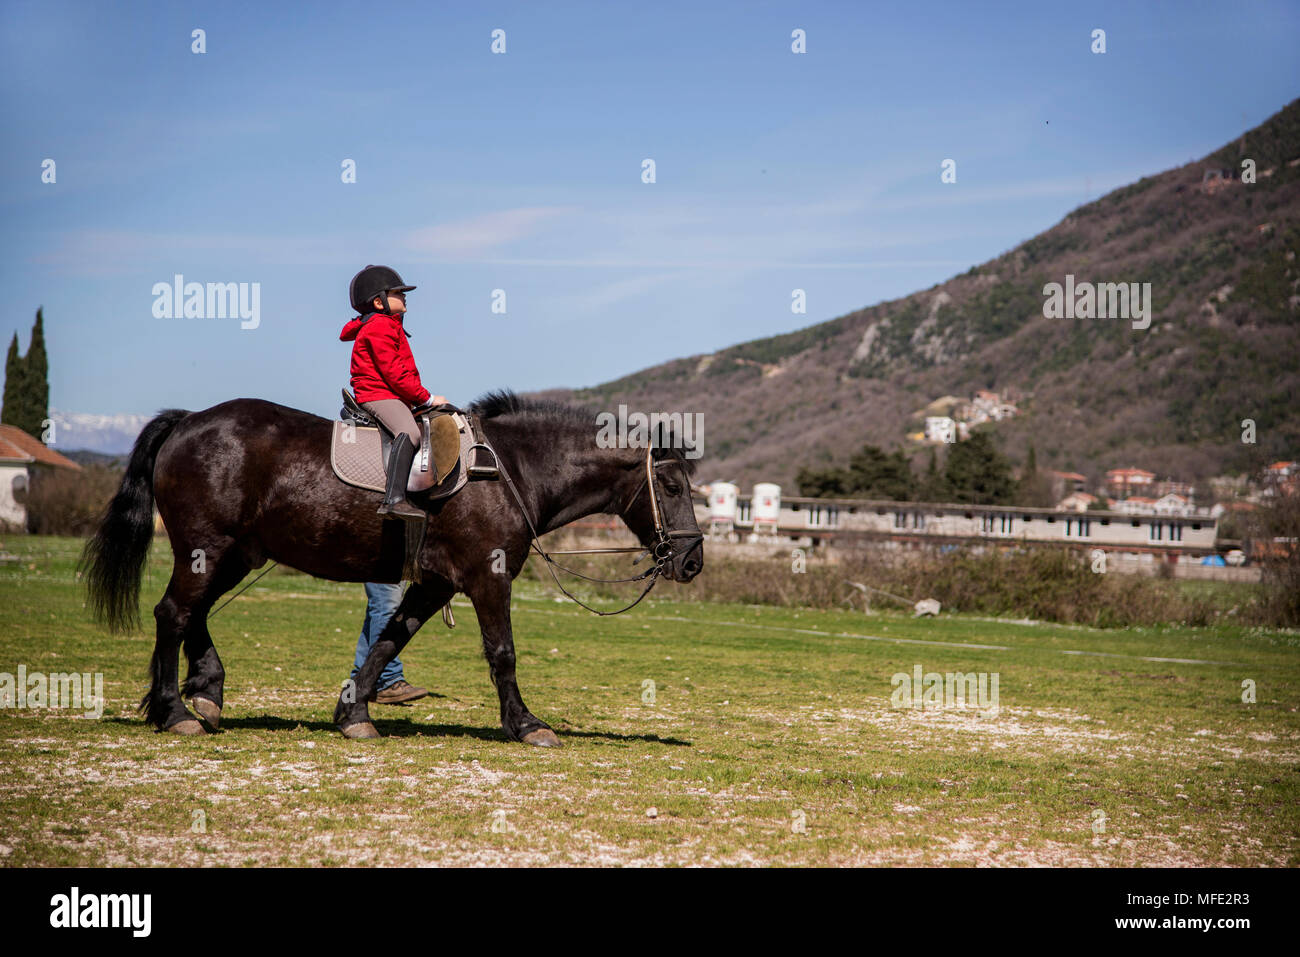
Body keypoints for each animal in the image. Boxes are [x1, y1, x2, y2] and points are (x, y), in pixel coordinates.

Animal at [79, 390, 704, 747]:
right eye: (672, 487)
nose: (694, 560)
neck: (510, 471)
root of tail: (189, 422)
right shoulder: (487, 577)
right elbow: (502, 653)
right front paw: (526, 724)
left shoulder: (435, 584)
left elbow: (387, 641)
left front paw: (352, 712)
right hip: (207, 550)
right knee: (173, 613)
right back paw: (174, 710)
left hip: (234, 555)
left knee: (194, 614)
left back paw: (206, 689)